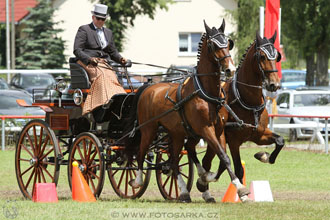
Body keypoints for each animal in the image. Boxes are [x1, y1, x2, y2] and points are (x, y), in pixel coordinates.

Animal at [125, 19, 251, 202]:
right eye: (213, 45)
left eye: (228, 43)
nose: (230, 70)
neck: (207, 94)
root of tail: (148, 87)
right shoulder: (205, 129)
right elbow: (224, 157)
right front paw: (240, 189)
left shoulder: (219, 130)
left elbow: (222, 159)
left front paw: (205, 179)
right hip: (149, 130)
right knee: (141, 153)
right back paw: (137, 181)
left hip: (177, 133)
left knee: (175, 159)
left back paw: (184, 190)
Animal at [186, 31, 284, 203]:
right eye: (262, 57)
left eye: (277, 56)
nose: (274, 85)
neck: (247, 100)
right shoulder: (233, 140)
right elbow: (235, 167)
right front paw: (241, 193)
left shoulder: (259, 134)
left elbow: (280, 141)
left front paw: (263, 156)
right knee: (202, 156)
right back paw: (202, 183)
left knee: (201, 156)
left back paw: (205, 189)